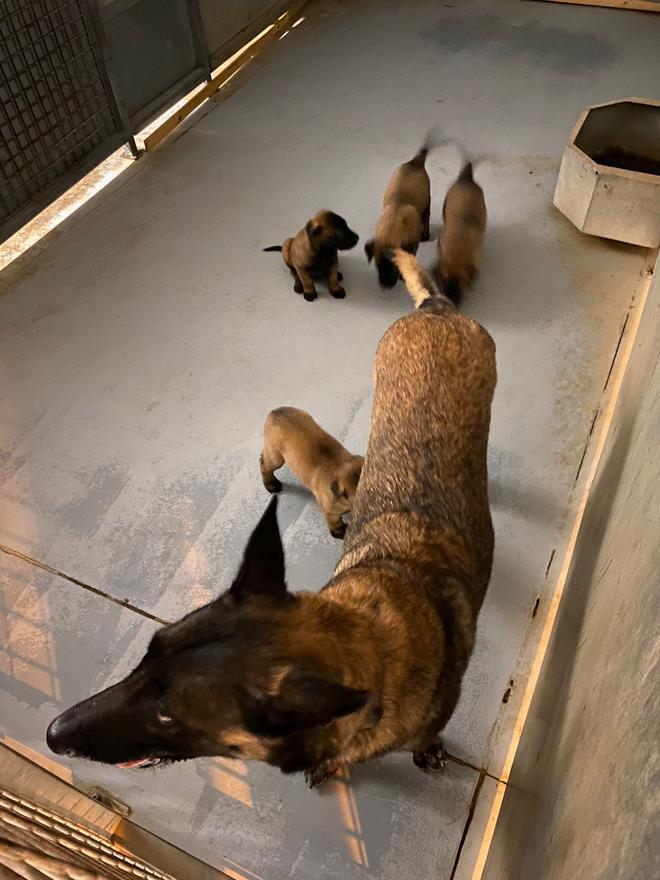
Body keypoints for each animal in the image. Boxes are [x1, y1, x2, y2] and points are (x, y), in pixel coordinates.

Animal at [260, 410, 364, 540]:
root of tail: (274, 412)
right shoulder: (329, 510)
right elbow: (334, 520)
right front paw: (340, 531)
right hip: (275, 458)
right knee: (264, 466)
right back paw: (271, 484)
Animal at [366, 128, 444, 288]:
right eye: (377, 264)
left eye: (397, 267)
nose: (385, 286)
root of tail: (415, 162)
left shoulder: (412, 244)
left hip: (427, 201)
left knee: (426, 217)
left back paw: (425, 234)